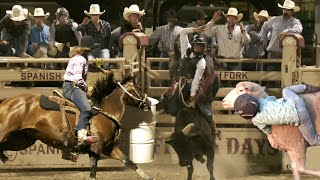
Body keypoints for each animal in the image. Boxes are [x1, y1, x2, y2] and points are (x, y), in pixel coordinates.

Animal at [0, 74, 154, 179]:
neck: (104, 114)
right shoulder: (96, 148)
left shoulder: (110, 148)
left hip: (22, 140)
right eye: (139, 88)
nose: (148, 103)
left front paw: (146, 176)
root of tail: (6, 101)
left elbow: (129, 162)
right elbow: (93, 171)